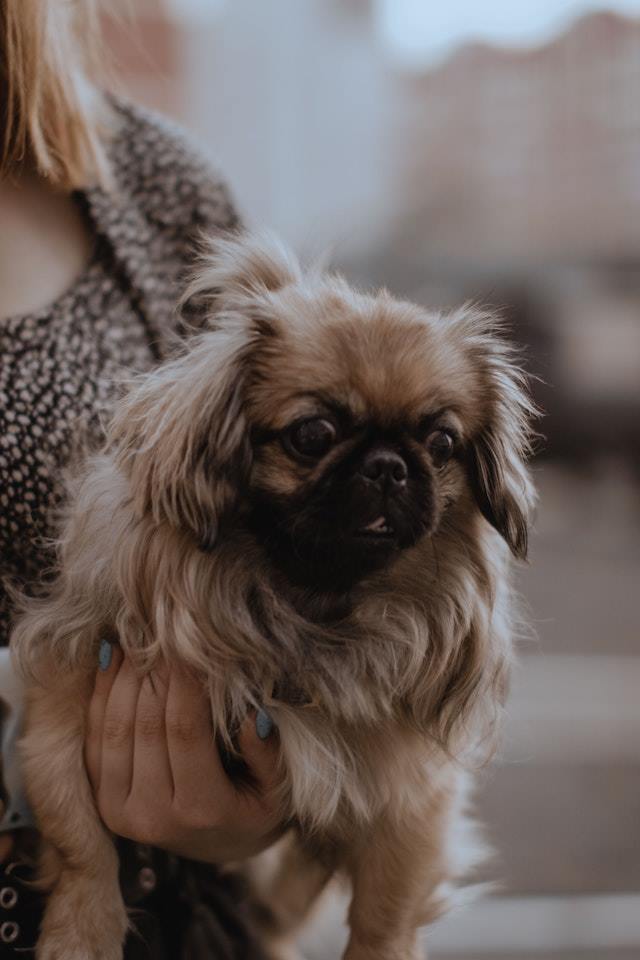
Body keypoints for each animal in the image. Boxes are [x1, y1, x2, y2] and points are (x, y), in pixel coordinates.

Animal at [12, 234, 536, 960]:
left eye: (441, 442)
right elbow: (80, 840)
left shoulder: (412, 790)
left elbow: (387, 910)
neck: (306, 605)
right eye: (312, 435)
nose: (389, 466)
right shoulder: (62, 708)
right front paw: (81, 934)